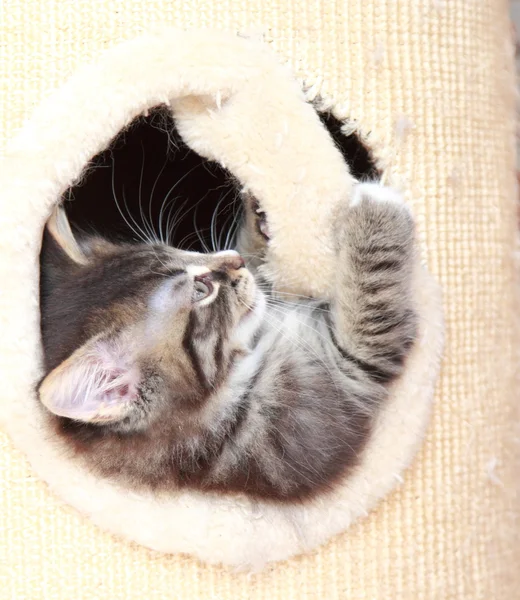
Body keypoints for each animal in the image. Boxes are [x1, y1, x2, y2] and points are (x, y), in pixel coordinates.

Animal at [37, 183, 418, 502]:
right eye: (201, 290)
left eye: (182, 249)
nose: (234, 258)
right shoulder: (340, 377)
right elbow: (373, 298)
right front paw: (375, 207)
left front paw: (260, 221)